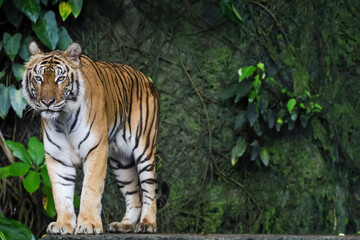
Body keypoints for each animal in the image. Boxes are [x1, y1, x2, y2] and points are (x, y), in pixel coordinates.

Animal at [22, 41, 169, 234]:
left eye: (60, 79)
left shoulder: (96, 150)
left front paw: (89, 225)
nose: (47, 102)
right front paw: (63, 224)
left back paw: (147, 224)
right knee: (135, 194)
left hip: (144, 150)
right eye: (38, 78)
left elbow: (90, 189)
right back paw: (124, 225)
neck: (63, 119)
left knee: (149, 190)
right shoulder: (57, 157)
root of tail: (146, 79)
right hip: (121, 163)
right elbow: (61, 193)